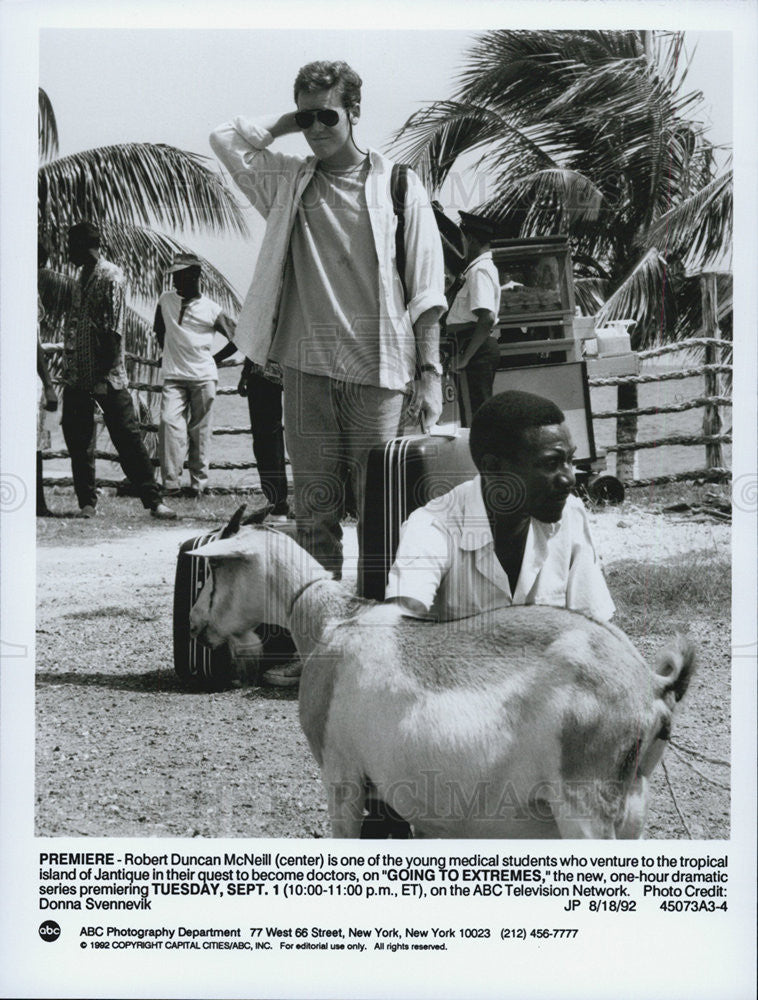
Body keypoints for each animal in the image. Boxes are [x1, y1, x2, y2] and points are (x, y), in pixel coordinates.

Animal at [189, 520, 696, 840]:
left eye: (214, 568)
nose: (195, 624)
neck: (333, 622)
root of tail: (651, 687)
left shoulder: (343, 776)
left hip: (585, 810)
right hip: (631, 812)